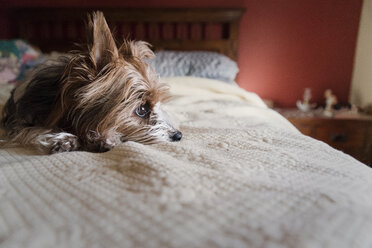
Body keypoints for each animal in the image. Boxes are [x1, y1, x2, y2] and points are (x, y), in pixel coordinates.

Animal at [1, 12, 182, 155]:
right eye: (142, 110)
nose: (178, 135)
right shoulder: (20, 121)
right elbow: (32, 131)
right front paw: (64, 139)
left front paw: (101, 138)